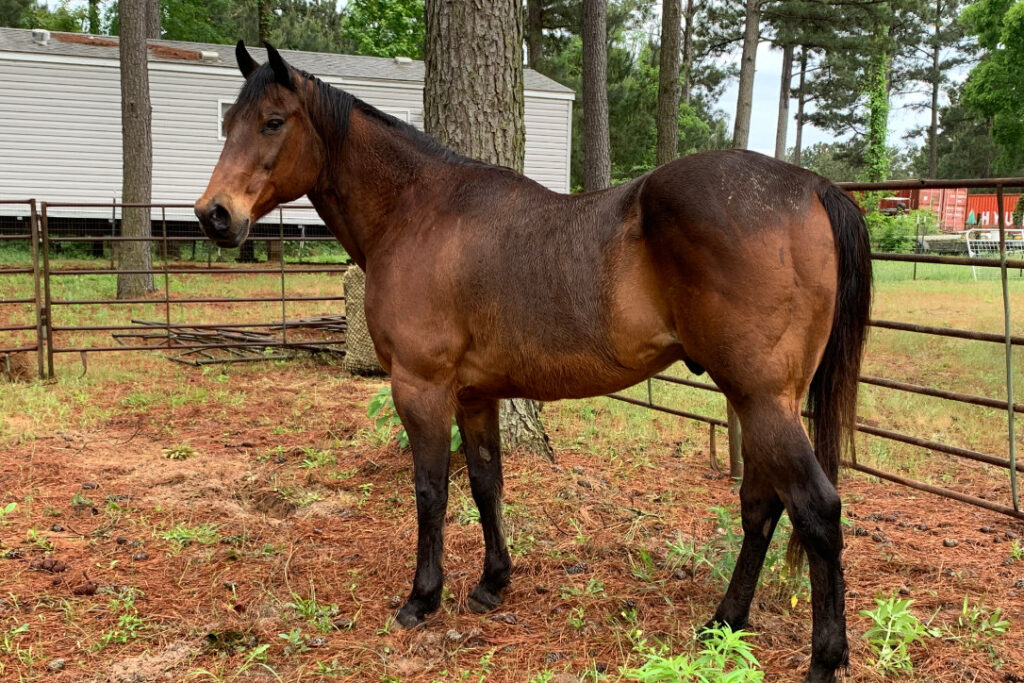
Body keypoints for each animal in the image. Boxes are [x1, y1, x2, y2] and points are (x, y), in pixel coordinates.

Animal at [195, 42, 871, 683]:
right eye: (225, 121)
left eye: (273, 121)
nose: (213, 214)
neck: (417, 212)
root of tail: (810, 185)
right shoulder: (475, 394)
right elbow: (485, 482)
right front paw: (492, 583)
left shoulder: (421, 387)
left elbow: (431, 490)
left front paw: (423, 598)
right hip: (755, 402)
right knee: (761, 506)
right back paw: (724, 622)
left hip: (762, 401)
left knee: (816, 510)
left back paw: (823, 659)